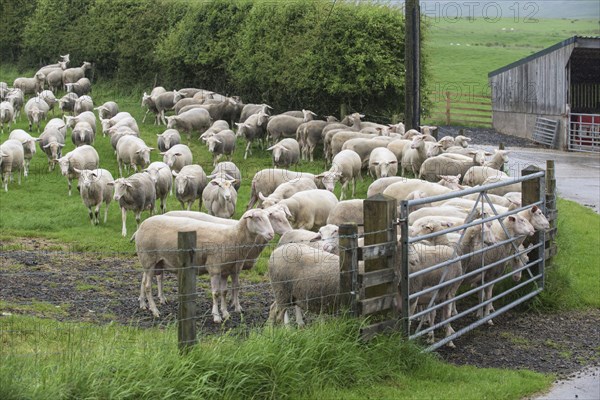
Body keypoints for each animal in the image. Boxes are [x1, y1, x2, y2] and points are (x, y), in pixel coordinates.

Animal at [135, 209, 274, 322]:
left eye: (268, 217)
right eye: (257, 218)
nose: (271, 234)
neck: (233, 236)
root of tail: (141, 226)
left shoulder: (226, 270)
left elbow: (224, 292)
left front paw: (225, 313)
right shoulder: (214, 268)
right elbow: (216, 293)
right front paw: (217, 316)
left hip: (155, 262)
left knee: (144, 281)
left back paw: (144, 305)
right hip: (148, 259)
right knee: (147, 286)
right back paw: (154, 310)